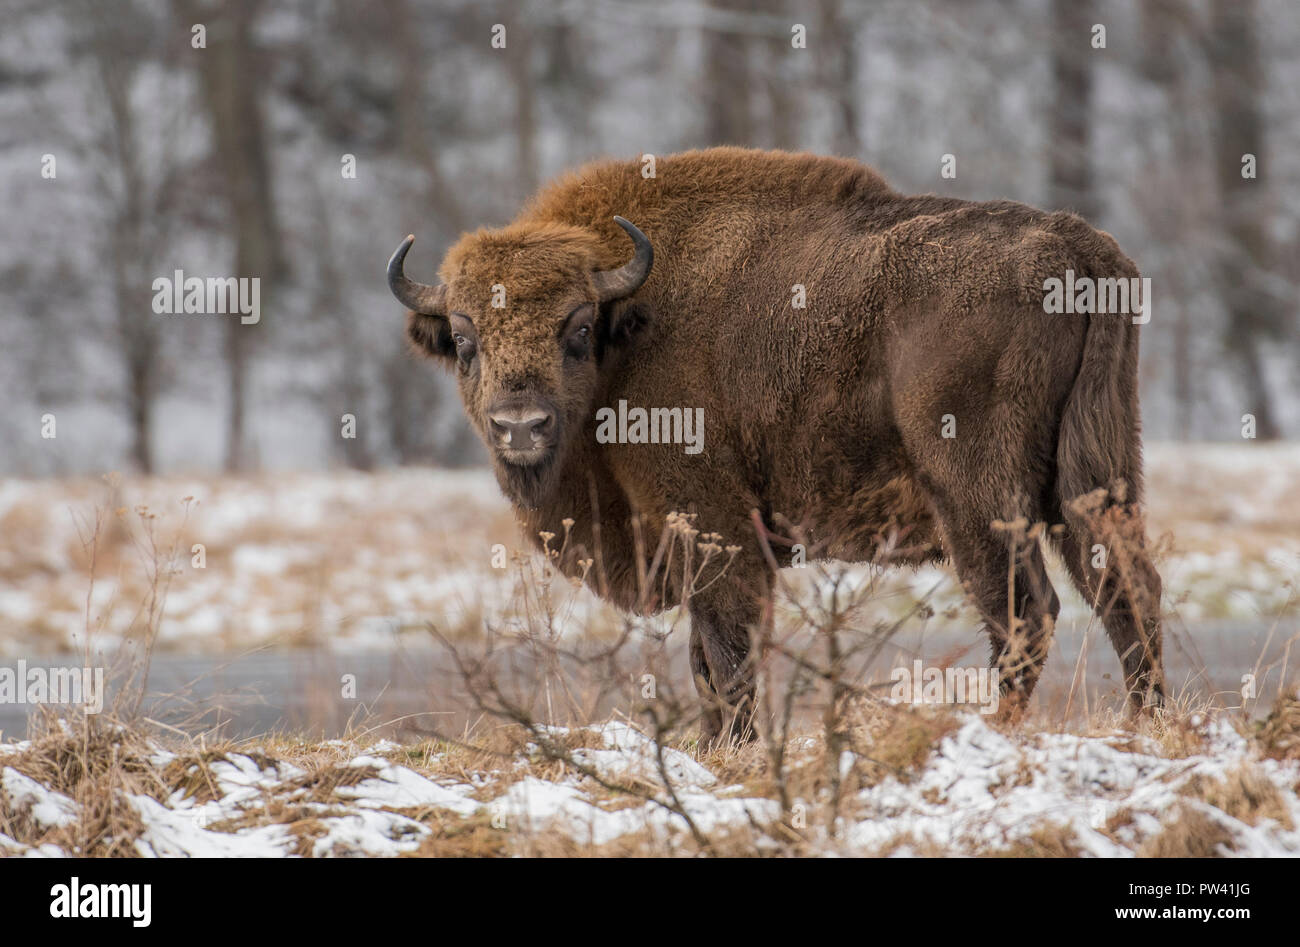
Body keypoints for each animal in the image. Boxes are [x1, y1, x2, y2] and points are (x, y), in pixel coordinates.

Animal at [387, 148, 1170, 744]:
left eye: (577, 328)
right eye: (464, 339)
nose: (520, 425)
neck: (631, 326)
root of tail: (1077, 245)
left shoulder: (714, 527)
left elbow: (726, 655)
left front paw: (733, 748)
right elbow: (706, 660)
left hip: (977, 494)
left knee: (1024, 609)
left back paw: (994, 727)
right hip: (1095, 469)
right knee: (1125, 586)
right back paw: (1148, 721)